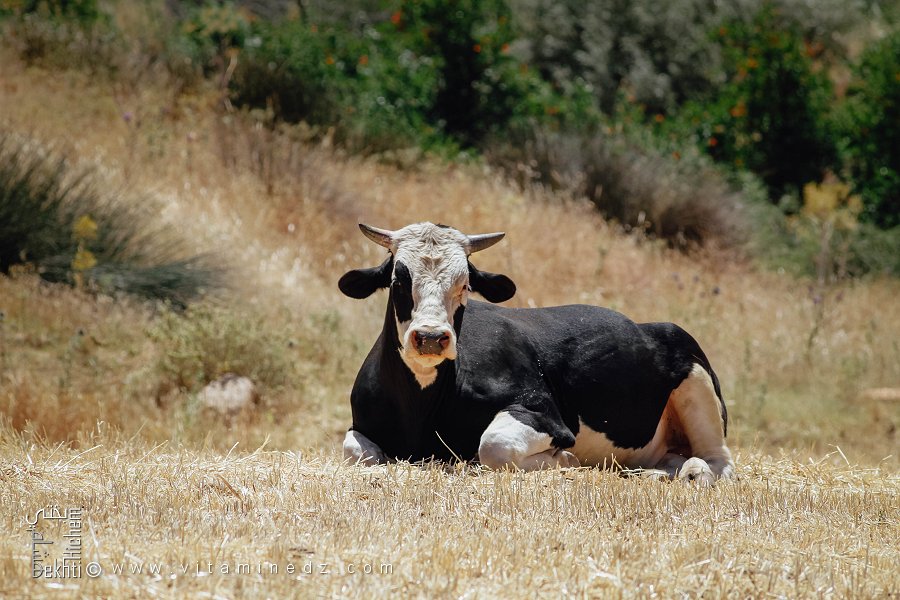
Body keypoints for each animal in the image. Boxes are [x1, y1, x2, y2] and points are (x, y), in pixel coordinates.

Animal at [338, 222, 734, 483]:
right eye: (397, 280)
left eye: (465, 284)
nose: (432, 337)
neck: (420, 411)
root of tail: (652, 325)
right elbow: (355, 451)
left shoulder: (544, 413)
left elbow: (493, 446)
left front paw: (567, 460)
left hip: (697, 383)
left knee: (720, 461)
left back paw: (694, 471)